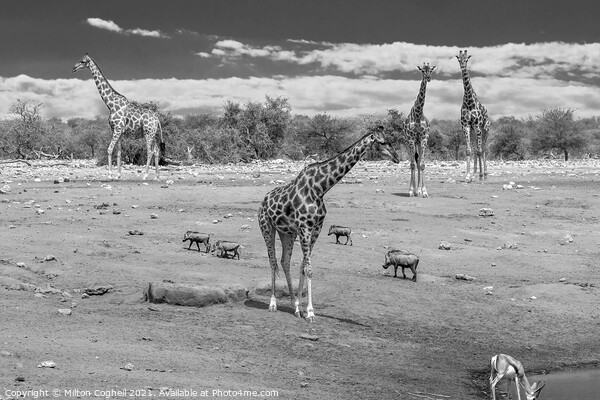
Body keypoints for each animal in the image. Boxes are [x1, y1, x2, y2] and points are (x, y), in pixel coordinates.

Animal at [258, 124, 398, 322]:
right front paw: (310, 313)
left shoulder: (315, 229)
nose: (397, 158)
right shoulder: (305, 228)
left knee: (285, 261)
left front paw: (302, 310)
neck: (320, 188)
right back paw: (272, 304)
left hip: (287, 233)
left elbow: (303, 267)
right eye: (383, 142)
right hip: (266, 227)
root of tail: (263, 201)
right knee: (273, 261)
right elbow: (308, 269)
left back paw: (294, 305)